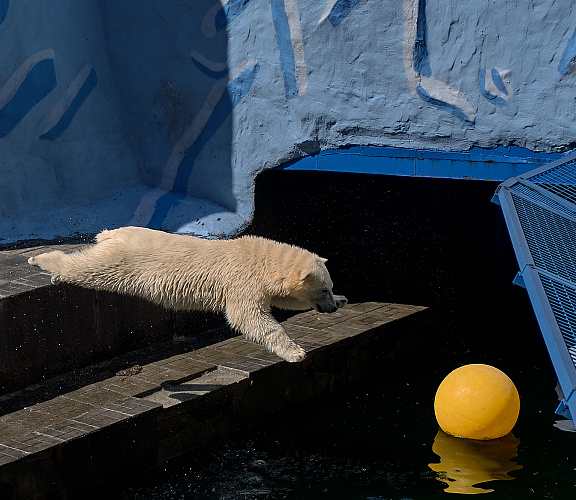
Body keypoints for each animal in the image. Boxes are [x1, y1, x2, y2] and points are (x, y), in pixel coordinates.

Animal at [28, 228, 346, 364]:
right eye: (323, 289)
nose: (331, 307)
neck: (262, 259)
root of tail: (112, 233)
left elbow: (281, 300)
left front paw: (343, 299)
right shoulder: (243, 281)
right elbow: (249, 318)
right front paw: (296, 353)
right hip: (126, 260)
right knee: (92, 268)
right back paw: (42, 260)